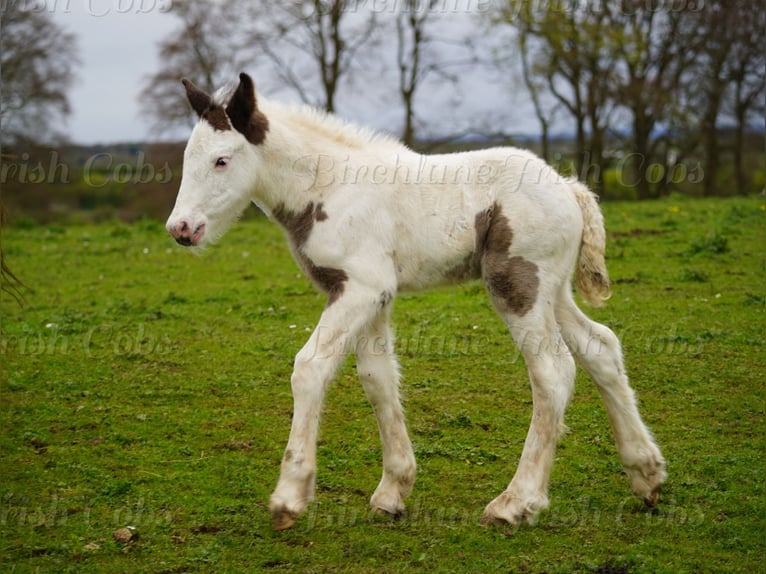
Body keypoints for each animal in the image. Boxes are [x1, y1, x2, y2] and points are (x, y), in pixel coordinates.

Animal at [166, 73, 666, 531]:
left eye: (221, 160)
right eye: (188, 158)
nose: (181, 229)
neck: (328, 187)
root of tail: (569, 187)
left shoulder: (361, 288)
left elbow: (310, 367)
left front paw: (290, 496)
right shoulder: (371, 294)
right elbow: (378, 378)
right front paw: (393, 491)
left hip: (518, 285)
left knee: (553, 371)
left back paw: (515, 502)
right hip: (552, 290)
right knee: (601, 347)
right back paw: (647, 475)